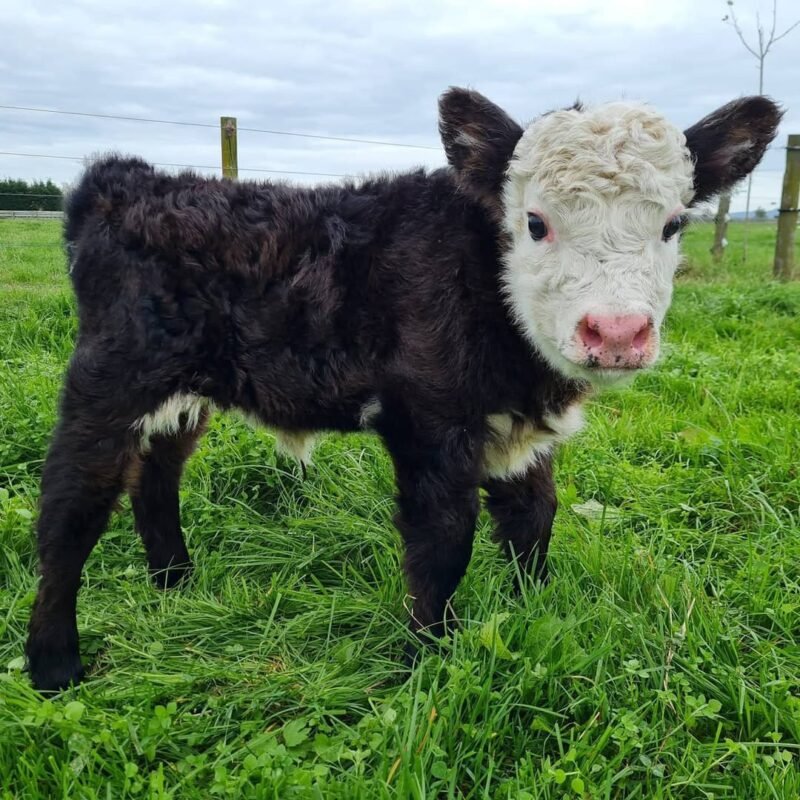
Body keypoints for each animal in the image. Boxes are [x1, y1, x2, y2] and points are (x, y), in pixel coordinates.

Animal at [25, 88, 781, 691]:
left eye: (674, 223)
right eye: (535, 223)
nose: (617, 333)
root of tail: (129, 181)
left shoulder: (520, 431)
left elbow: (534, 521)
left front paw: (533, 616)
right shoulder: (429, 421)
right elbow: (444, 541)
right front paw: (429, 658)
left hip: (182, 394)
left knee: (155, 479)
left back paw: (176, 585)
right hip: (109, 380)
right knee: (71, 507)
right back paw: (53, 665)